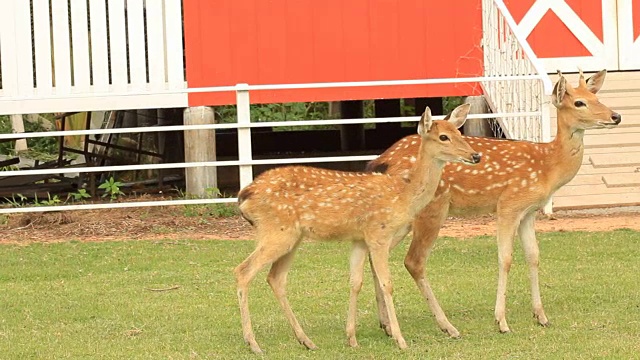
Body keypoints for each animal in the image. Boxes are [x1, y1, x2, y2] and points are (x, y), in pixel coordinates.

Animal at [234, 105, 480, 352]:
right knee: (243, 270)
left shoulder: (359, 239)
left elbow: (355, 282)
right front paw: (400, 339)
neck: (402, 195)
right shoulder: (378, 233)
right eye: (444, 137)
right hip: (277, 231)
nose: (475, 155)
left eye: (459, 133)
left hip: (292, 237)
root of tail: (244, 196)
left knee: (275, 278)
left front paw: (351, 338)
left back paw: (306, 340)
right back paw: (253, 343)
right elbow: (387, 283)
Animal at [368, 70, 624, 338]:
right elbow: (506, 258)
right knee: (413, 261)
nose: (615, 116)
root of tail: (382, 160)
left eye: (596, 97)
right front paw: (501, 321)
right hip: (432, 208)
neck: (548, 167)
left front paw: (541, 316)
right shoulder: (509, 204)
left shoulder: (528, 212)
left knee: (377, 254)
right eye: (579, 102)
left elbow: (534, 256)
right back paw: (446, 326)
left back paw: (386, 325)